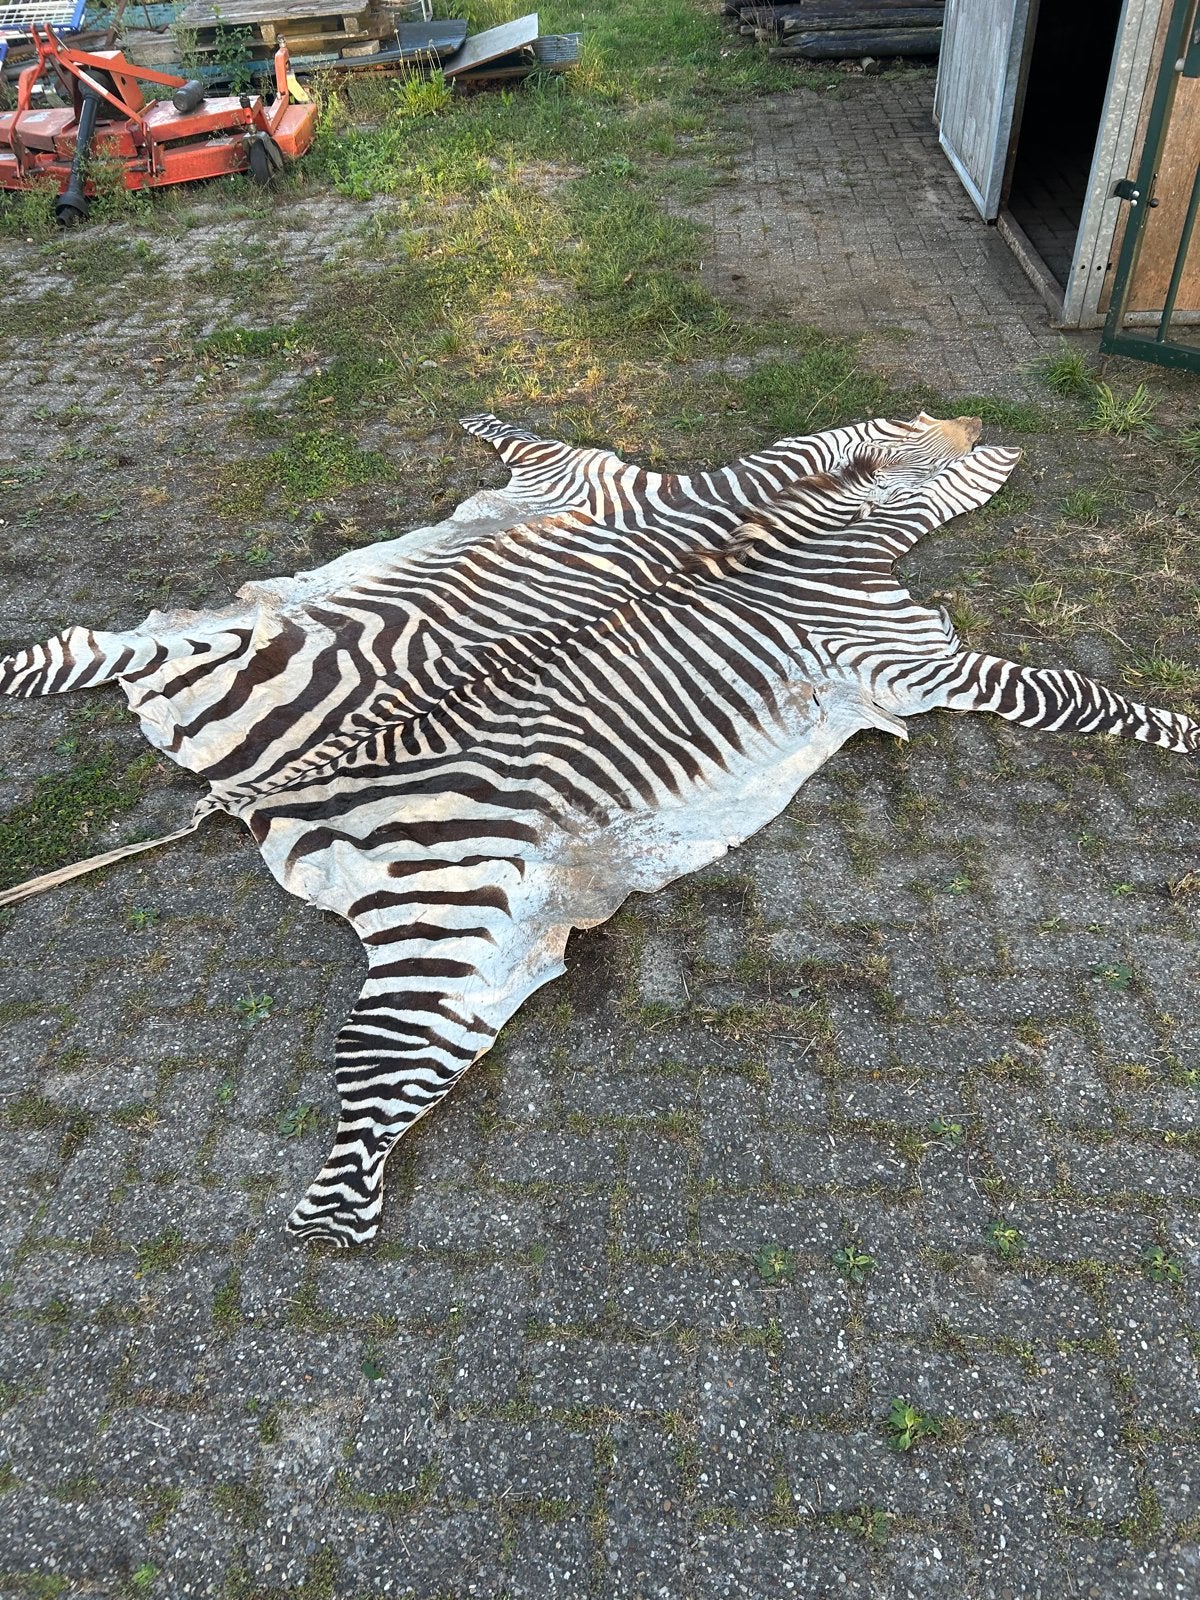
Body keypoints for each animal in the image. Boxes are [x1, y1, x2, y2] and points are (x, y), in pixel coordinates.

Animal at [1, 411, 1196, 1248]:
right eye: (905, 421)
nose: (978, 415)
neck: (805, 515)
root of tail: (260, 795)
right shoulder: (887, 643)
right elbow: (1078, 696)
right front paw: (1186, 726)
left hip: (380, 827)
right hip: (386, 813)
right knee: (377, 1079)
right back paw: (330, 1232)